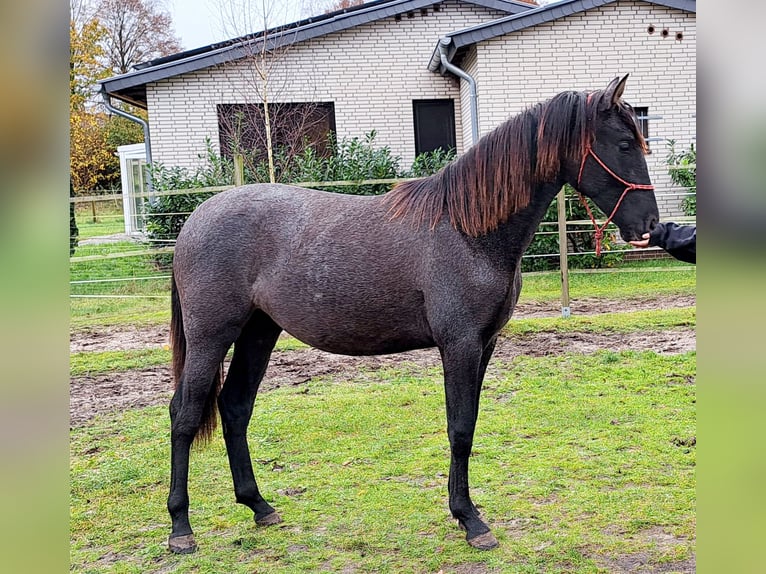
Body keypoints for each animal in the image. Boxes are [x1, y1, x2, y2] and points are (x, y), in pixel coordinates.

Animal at [166, 75, 660, 552]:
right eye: (624, 143)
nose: (650, 226)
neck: (467, 230)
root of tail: (197, 219)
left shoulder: (484, 345)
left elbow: (469, 424)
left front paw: (463, 512)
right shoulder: (459, 344)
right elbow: (460, 429)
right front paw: (471, 521)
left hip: (258, 332)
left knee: (234, 407)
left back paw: (259, 506)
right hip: (211, 335)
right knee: (184, 414)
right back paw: (180, 529)